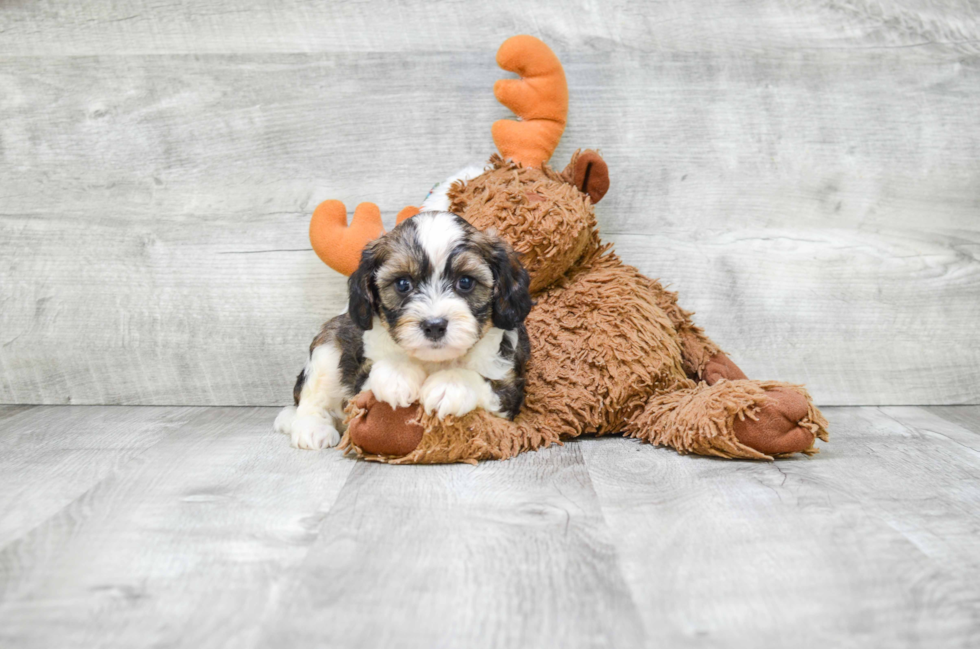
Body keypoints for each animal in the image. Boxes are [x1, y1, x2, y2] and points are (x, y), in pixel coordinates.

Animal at [276, 211, 532, 450]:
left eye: (466, 282)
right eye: (402, 284)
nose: (434, 325)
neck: (433, 361)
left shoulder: (508, 391)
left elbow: (485, 383)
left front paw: (449, 385)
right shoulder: (361, 382)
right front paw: (397, 375)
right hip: (328, 347)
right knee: (313, 395)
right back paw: (311, 428)